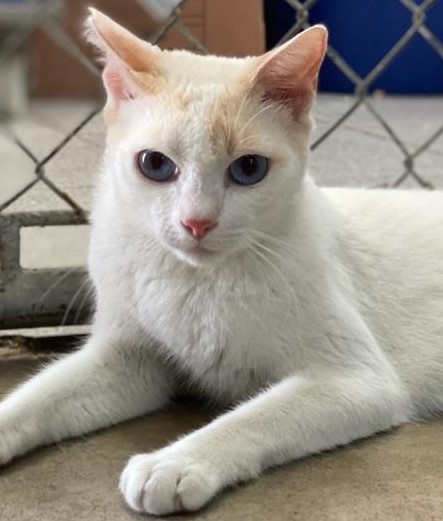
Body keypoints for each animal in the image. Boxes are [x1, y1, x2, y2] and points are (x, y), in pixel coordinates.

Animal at [0, 8, 443, 516]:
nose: (196, 222)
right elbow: (40, 394)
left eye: (249, 169)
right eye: (155, 164)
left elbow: (256, 417)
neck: (195, 279)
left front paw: (175, 463)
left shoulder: (357, 380)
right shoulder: (130, 361)